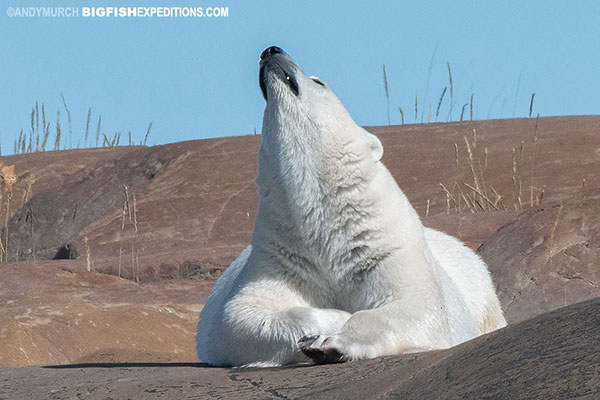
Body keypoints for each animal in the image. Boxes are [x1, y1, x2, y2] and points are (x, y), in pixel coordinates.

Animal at [198, 46, 506, 366]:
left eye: (318, 81)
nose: (272, 50)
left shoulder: (382, 247)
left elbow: (419, 306)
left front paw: (332, 341)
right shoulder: (282, 255)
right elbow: (240, 315)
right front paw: (328, 324)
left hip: (480, 289)